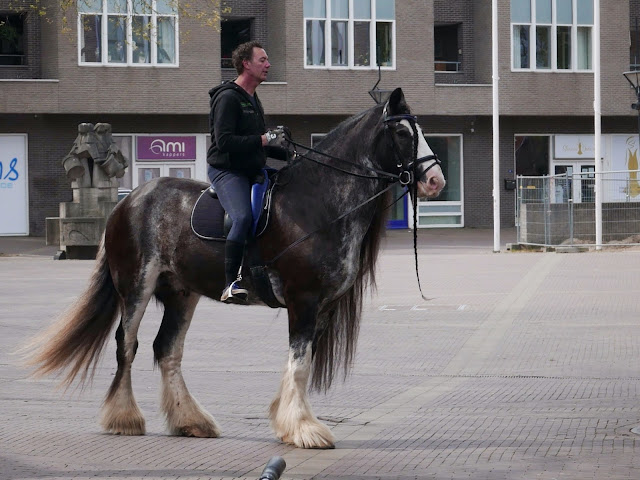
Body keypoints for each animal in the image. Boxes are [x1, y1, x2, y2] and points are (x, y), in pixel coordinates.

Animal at [25, 87, 444, 450]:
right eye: (403, 132)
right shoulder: (303, 300)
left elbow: (302, 362)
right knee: (126, 345)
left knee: (167, 350)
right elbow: (299, 364)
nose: (436, 179)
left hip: (181, 294)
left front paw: (288, 422)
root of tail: (128, 201)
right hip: (136, 288)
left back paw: (190, 421)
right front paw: (304, 429)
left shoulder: (322, 307)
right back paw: (124, 418)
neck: (317, 203)